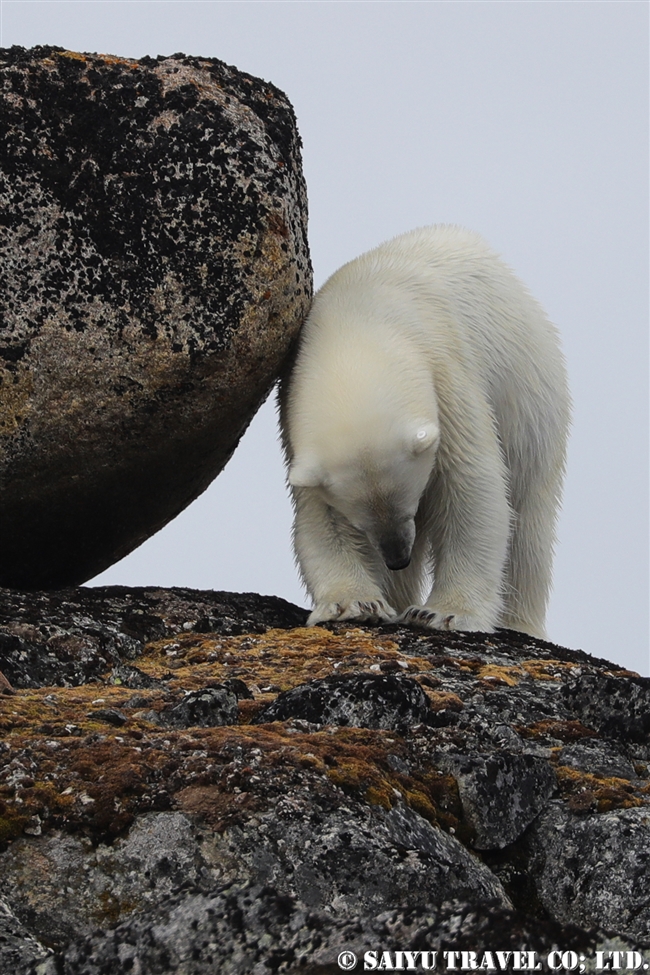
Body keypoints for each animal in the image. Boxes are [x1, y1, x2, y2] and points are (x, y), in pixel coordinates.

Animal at [278, 228, 568, 640]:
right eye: (361, 521)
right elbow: (320, 518)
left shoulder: (446, 374)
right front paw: (355, 605)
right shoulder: (294, 416)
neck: (357, 327)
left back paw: (519, 623)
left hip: (531, 397)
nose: (398, 557)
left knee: (529, 513)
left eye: (408, 503)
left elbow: (471, 487)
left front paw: (444, 614)